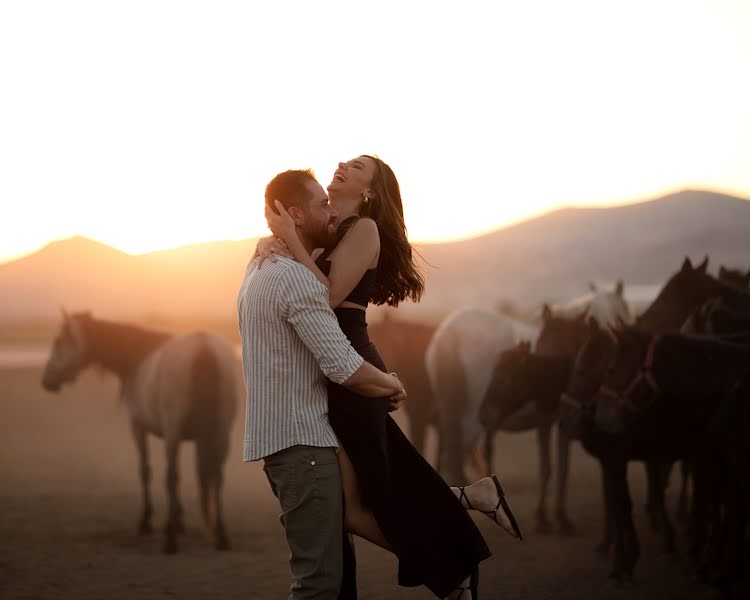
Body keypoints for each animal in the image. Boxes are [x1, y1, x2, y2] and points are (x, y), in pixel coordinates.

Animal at [40, 312, 238, 556]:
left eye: (59, 341)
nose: (46, 380)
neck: (138, 358)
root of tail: (203, 346)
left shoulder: (137, 428)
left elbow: (145, 471)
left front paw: (146, 522)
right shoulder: (197, 439)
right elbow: (201, 477)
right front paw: (180, 521)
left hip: (173, 432)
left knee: (171, 476)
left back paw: (170, 541)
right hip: (222, 432)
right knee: (217, 476)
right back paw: (221, 536)